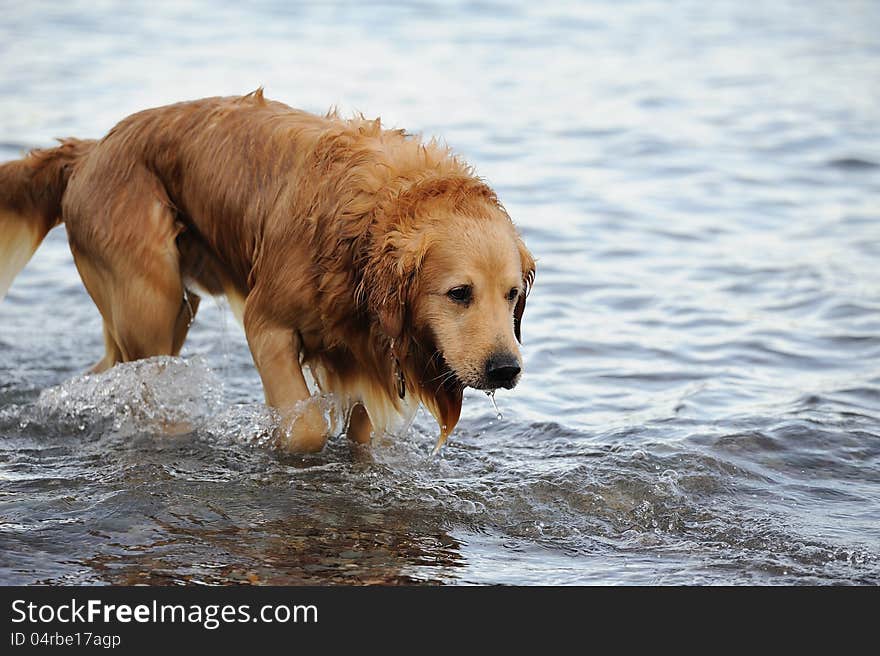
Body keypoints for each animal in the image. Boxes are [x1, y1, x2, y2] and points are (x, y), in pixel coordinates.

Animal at [0, 91, 532, 452]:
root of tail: (90, 149)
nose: (506, 369)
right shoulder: (267, 325)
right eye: (459, 293)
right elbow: (307, 428)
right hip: (150, 303)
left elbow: (362, 435)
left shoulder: (361, 354)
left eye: (512, 296)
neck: (366, 224)